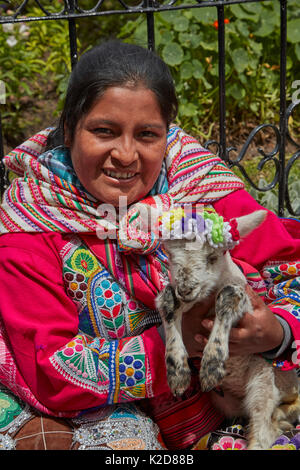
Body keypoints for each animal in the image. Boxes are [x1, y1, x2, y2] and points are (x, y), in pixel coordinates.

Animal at [155, 207, 300, 450]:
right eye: (171, 256)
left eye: (213, 257)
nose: (185, 289)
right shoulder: (178, 297)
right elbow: (167, 300)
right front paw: (177, 374)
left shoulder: (245, 303)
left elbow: (228, 297)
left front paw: (212, 366)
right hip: (225, 401)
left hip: (264, 377)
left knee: (264, 429)